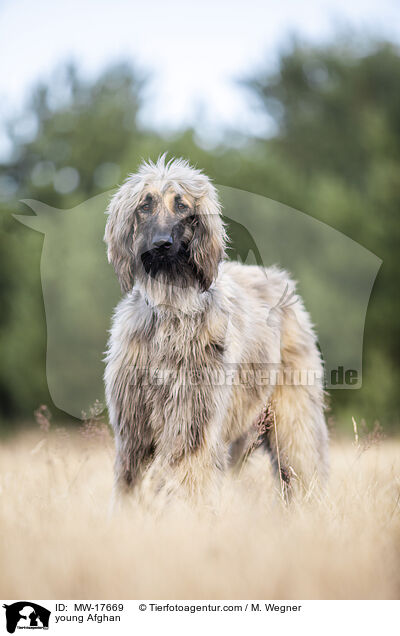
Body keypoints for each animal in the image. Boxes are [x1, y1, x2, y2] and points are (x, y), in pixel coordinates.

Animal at [104, 157, 328, 504]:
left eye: (181, 205)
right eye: (145, 204)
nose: (162, 245)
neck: (172, 308)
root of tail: (281, 281)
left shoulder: (193, 419)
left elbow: (187, 477)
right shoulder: (135, 430)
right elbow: (131, 482)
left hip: (291, 416)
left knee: (304, 463)